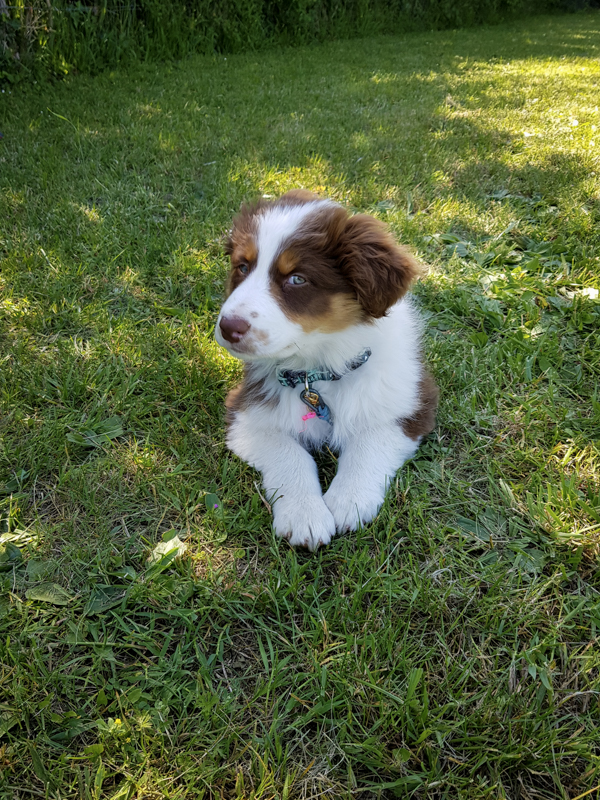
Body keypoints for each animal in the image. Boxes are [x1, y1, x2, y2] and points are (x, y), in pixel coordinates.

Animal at [214, 190, 436, 552]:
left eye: (297, 279)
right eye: (243, 267)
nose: (228, 327)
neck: (319, 369)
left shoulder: (410, 405)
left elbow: (368, 445)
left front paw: (349, 501)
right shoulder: (244, 413)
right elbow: (289, 454)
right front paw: (305, 514)